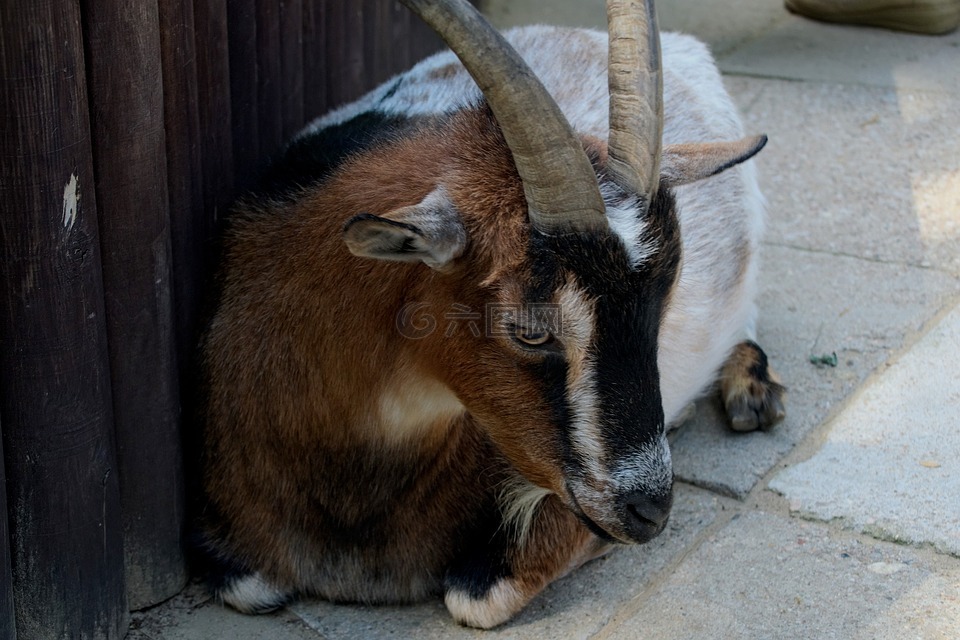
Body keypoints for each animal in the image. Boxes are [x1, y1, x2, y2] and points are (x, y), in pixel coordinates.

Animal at [197, 0, 788, 632]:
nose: (650, 509)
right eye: (529, 331)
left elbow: (478, 597)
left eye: (664, 304)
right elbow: (246, 586)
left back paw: (751, 390)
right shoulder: (233, 553)